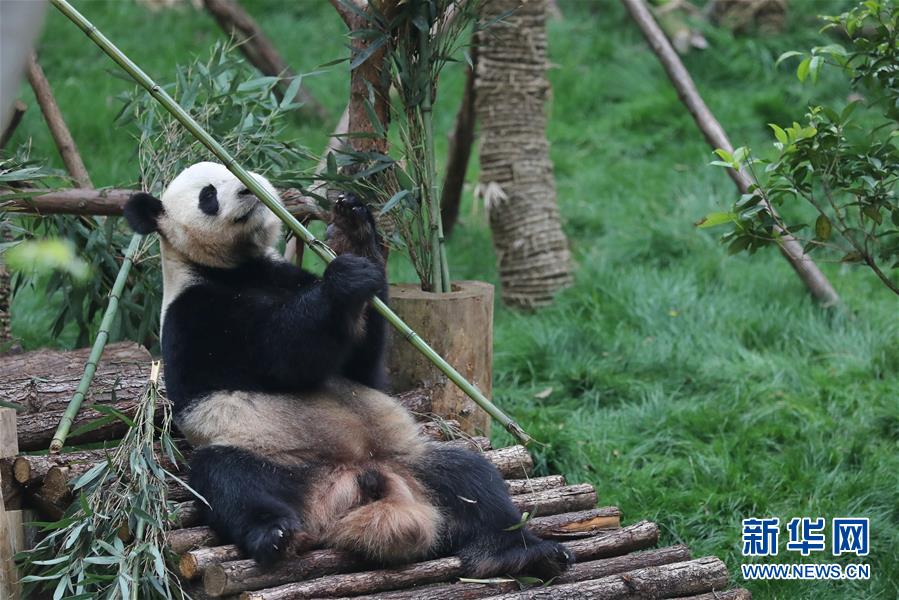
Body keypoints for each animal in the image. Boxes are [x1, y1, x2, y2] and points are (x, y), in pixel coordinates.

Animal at [123, 162, 572, 580]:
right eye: (209, 195)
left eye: (244, 173)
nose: (247, 191)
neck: (238, 267)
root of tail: (361, 481)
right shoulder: (198, 313)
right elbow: (282, 356)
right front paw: (344, 279)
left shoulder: (285, 276)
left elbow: (361, 364)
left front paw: (354, 226)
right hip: (268, 453)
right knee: (229, 482)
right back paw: (275, 535)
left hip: (413, 459)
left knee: (472, 480)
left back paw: (519, 553)